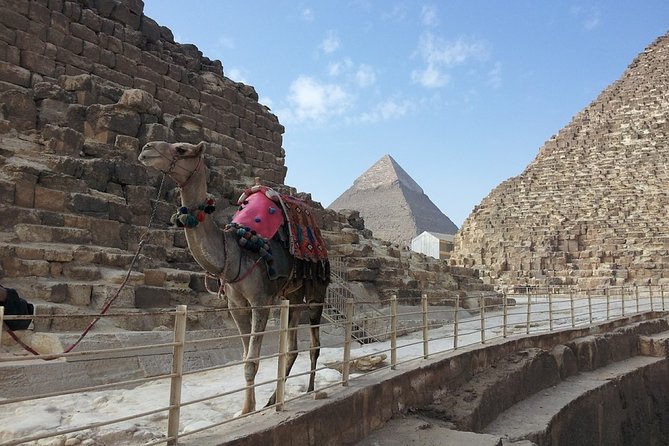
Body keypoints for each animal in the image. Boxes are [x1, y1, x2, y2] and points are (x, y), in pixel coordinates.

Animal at [138, 140, 330, 414]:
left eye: (181, 149)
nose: (146, 149)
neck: (234, 252)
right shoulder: (236, 304)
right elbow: (244, 357)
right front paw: (249, 407)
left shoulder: (260, 300)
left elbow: (252, 360)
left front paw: (246, 409)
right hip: (292, 295)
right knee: (292, 348)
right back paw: (274, 399)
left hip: (316, 289)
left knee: (314, 344)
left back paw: (311, 389)